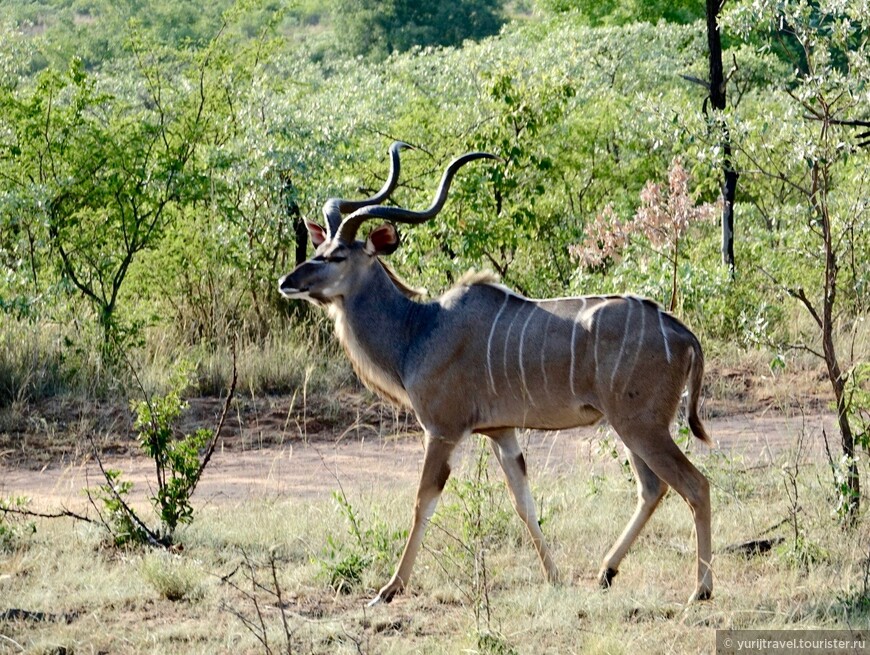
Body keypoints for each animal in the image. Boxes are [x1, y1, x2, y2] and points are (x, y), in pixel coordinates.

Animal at [282, 144, 716, 604]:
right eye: (320, 247)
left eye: (336, 256)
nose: (287, 281)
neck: (419, 328)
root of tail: (682, 333)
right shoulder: (501, 432)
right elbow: (524, 502)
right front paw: (554, 576)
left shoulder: (442, 430)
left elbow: (422, 502)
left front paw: (389, 587)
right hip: (630, 428)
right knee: (653, 488)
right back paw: (606, 571)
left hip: (641, 426)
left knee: (695, 485)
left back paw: (700, 591)